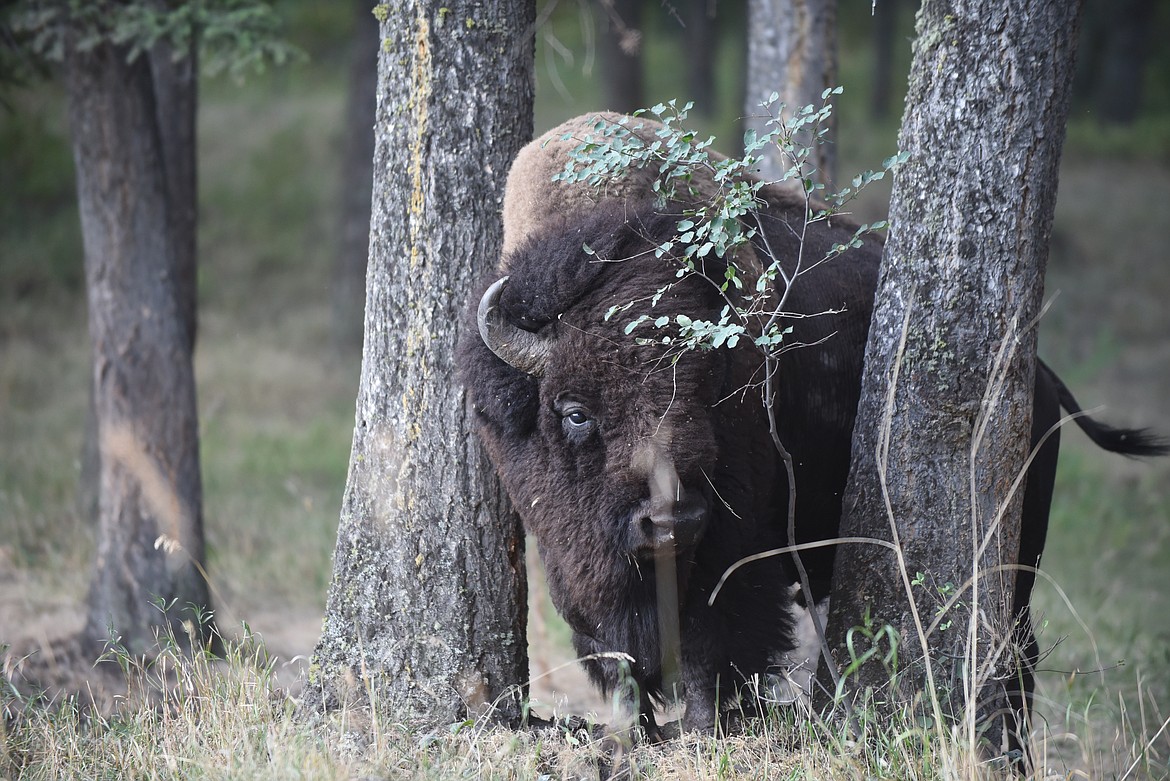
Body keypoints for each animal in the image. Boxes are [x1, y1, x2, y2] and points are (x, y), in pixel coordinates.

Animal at [456, 114, 1160, 743]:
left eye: (707, 393)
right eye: (575, 411)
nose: (671, 520)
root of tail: (1040, 374)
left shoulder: (731, 549)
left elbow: (717, 636)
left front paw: (706, 729)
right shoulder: (578, 563)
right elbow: (618, 648)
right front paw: (633, 730)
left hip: (1021, 550)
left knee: (1015, 649)